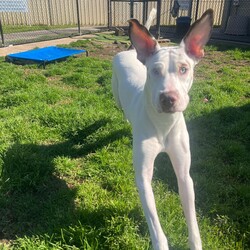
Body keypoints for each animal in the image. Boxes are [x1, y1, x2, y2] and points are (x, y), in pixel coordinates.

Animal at [111, 8, 213, 249]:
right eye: (154, 71)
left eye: (184, 69)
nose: (168, 99)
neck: (164, 124)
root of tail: (130, 51)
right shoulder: (143, 178)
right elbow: (155, 225)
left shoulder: (185, 176)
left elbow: (192, 219)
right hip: (115, 94)